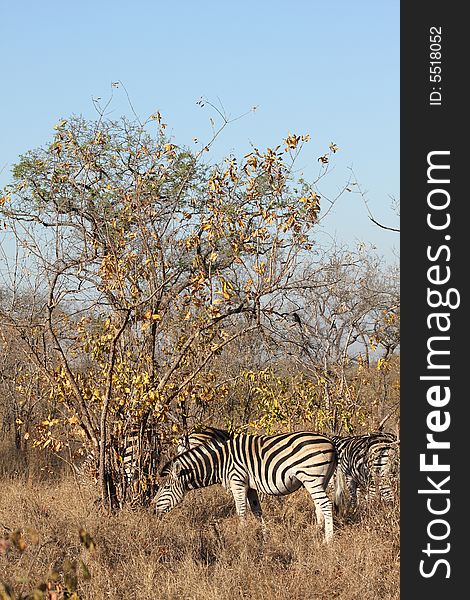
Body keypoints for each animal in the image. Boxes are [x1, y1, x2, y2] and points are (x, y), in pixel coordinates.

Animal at [152, 432, 336, 544]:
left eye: (166, 487)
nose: (153, 511)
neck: (220, 462)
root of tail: (331, 444)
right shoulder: (251, 486)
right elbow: (257, 511)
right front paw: (264, 537)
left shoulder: (237, 482)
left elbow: (241, 511)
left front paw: (241, 537)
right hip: (320, 481)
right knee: (319, 505)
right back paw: (317, 532)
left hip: (311, 478)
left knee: (326, 504)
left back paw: (328, 540)